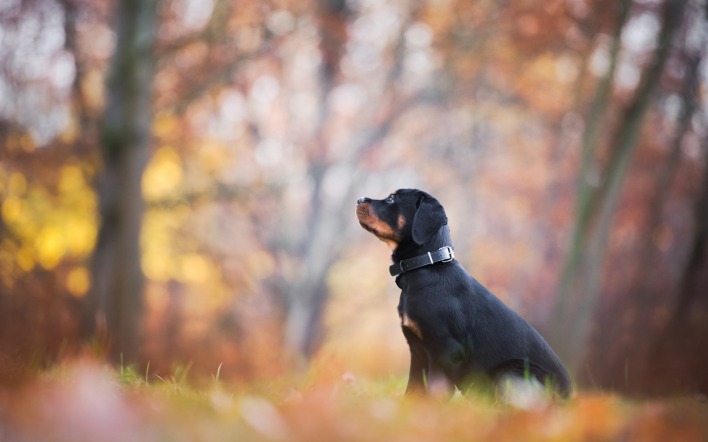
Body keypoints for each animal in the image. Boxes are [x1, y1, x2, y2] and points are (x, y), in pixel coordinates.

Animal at [356, 188, 572, 398]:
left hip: (513, 371)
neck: (425, 267)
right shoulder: (418, 351)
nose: (359, 199)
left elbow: (435, 391)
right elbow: (413, 390)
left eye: (391, 199)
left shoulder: (446, 350)